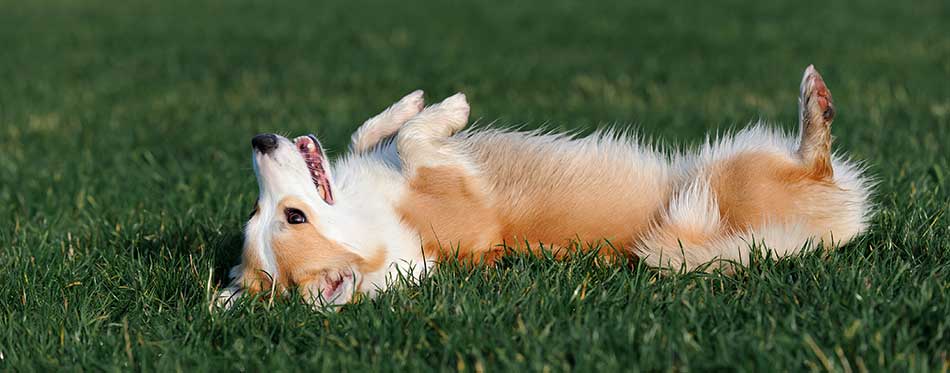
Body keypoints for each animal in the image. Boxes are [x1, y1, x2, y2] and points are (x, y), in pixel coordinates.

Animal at [219, 64, 872, 308]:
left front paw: (412, 102)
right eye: (293, 217)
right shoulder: (447, 183)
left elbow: (376, 132)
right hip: (739, 174)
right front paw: (451, 109)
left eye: (270, 213)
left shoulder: (373, 157)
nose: (257, 139)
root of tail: (824, 234)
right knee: (816, 159)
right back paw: (816, 106)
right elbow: (412, 142)